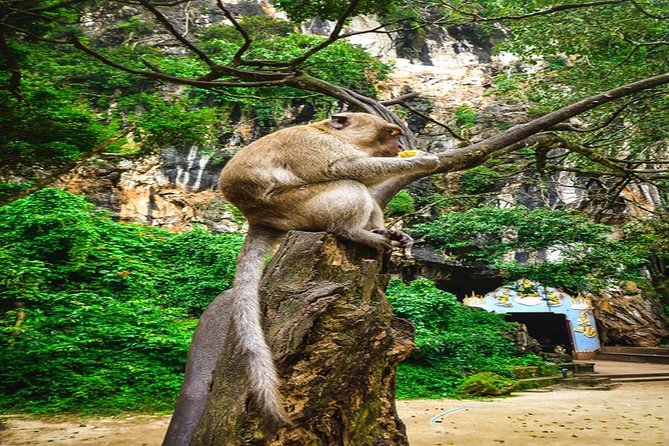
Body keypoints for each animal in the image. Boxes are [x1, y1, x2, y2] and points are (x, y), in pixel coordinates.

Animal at [217, 112, 440, 426]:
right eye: (390, 133)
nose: (399, 145)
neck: (330, 133)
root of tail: (257, 219)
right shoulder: (314, 145)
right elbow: (343, 168)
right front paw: (422, 161)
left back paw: (382, 233)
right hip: (303, 209)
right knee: (349, 184)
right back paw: (355, 232)